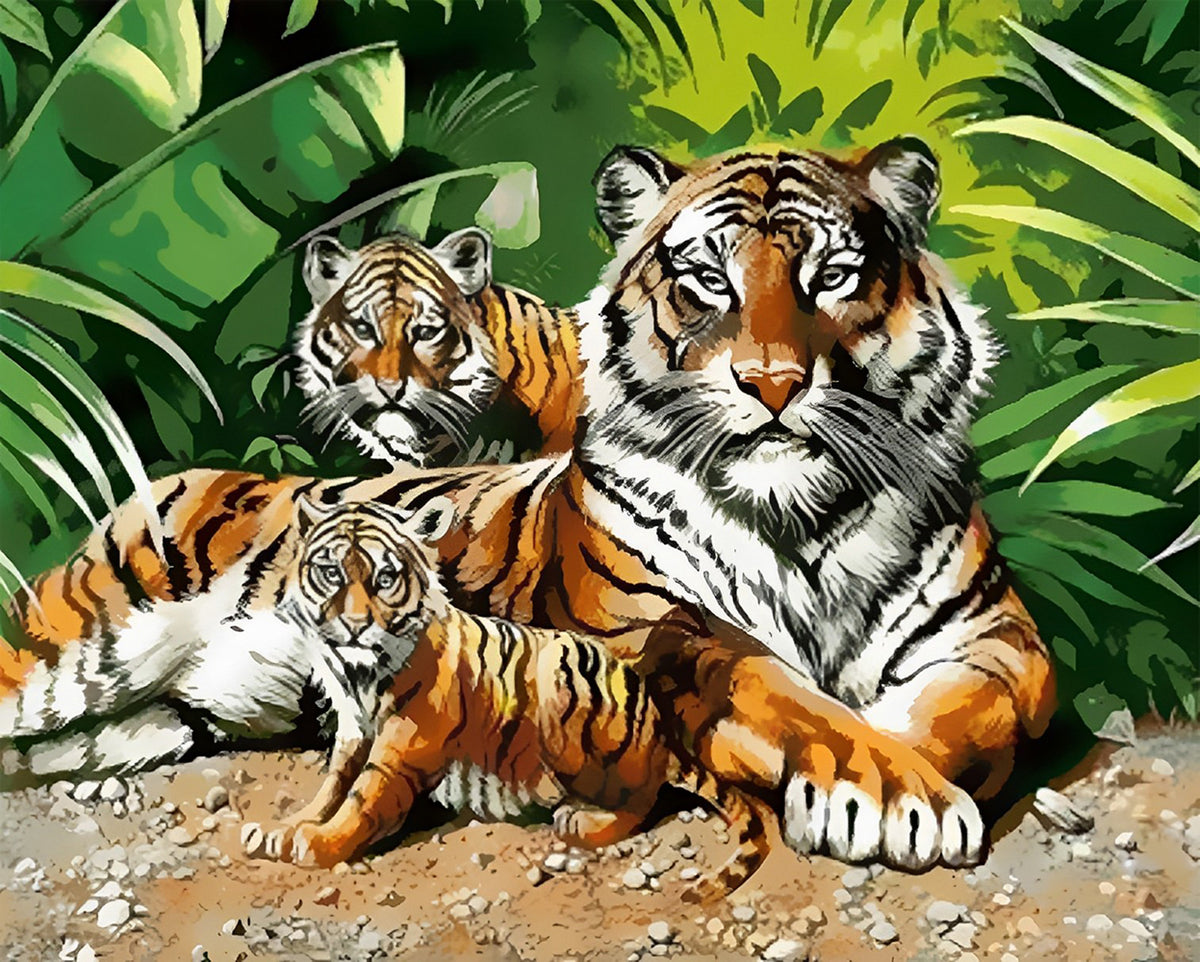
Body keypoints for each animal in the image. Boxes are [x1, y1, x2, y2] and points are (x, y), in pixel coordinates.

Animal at [238, 495, 770, 898]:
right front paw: (285, 828)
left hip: (563, 687)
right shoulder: (353, 732)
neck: (358, 675)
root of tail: (659, 733)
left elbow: (361, 796)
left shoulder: (404, 742)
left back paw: (580, 821)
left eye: (384, 579)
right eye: (330, 573)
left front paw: (316, 842)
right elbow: (331, 786)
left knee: (643, 798)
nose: (352, 626)